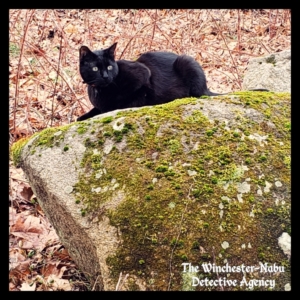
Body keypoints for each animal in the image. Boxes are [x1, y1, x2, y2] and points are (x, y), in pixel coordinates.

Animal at [77, 42, 223, 122]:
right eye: (95, 68)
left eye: (109, 67)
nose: (106, 76)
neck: (99, 90)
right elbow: (95, 110)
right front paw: (82, 117)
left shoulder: (143, 73)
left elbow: (122, 101)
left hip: (186, 62)